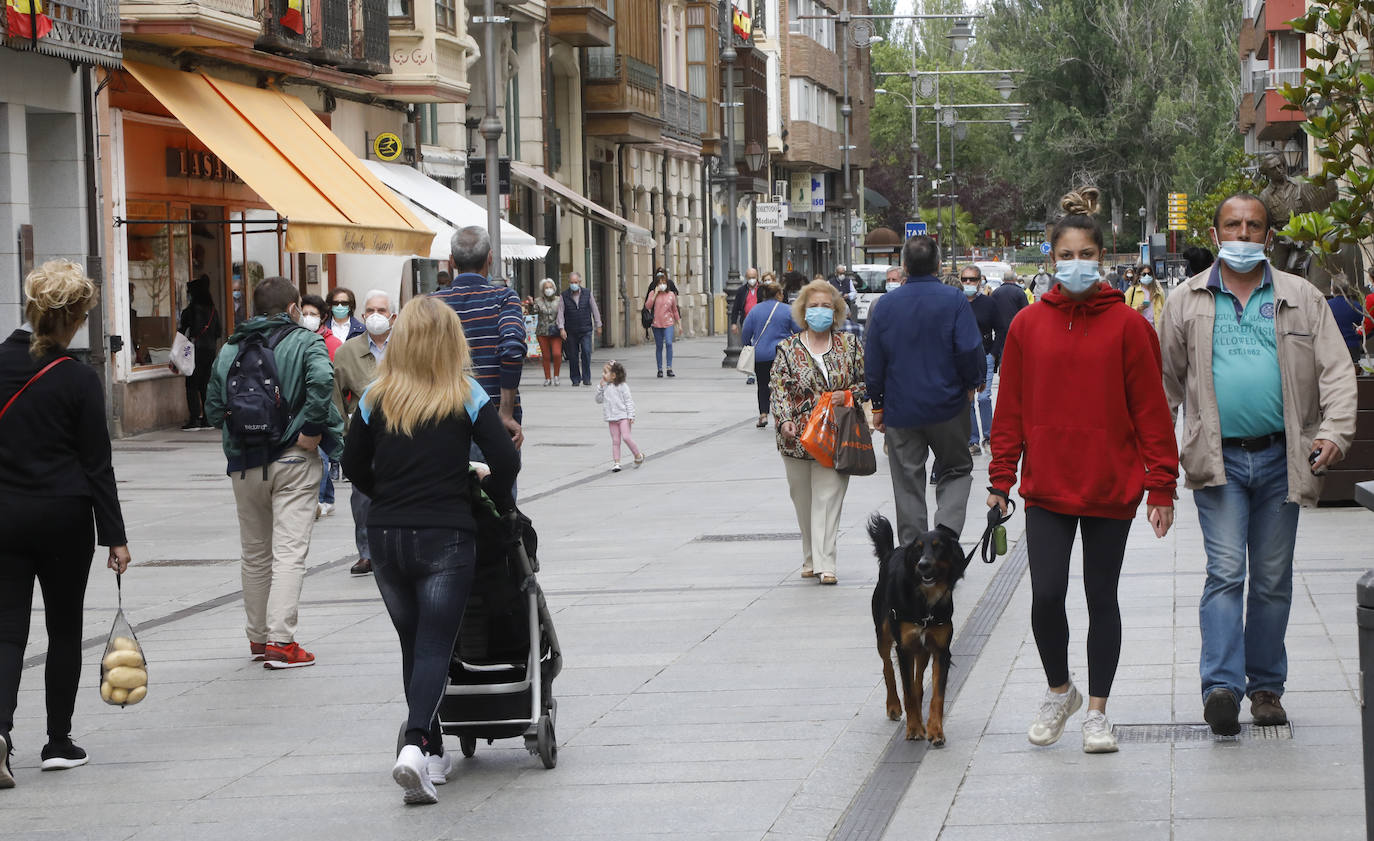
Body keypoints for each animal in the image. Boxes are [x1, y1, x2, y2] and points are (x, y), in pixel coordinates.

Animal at [868, 516, 967, 747]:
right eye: (918, 548)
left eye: (939, 547)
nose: (923, 565)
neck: (926, 601)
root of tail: (891, 552)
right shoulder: (904, 648)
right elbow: (908, 691)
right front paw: (914, 729)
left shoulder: (941, 650)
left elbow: (936, 694)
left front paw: (935, 730)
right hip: (884, 634)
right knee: (888, 667)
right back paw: (894, 706)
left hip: (923, 650)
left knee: (918, 683)